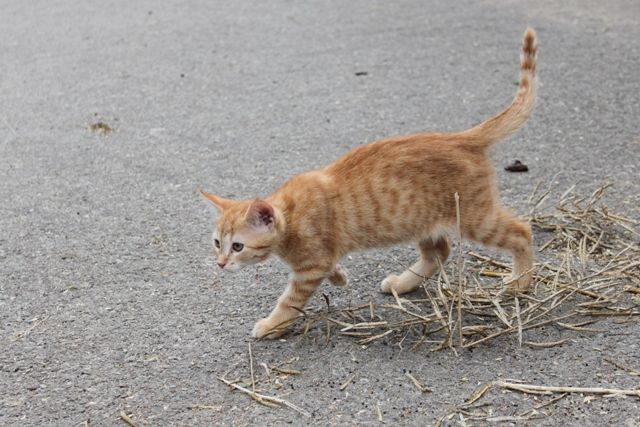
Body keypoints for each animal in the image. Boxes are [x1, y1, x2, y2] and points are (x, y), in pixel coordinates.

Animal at [200, 28, 536, 340]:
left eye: (237, 246)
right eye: (217, 243)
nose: (220, 263)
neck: (291, 217)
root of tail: (462, 137)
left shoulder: (309, 268)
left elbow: (290, 301)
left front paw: (273, 325)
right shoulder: (321, 259)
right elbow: (332, 268)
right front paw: (339, 277)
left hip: (474, 218)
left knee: (521, 232)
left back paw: (520, 281)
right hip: (421, 219)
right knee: (439, 251)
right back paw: (403, 283)